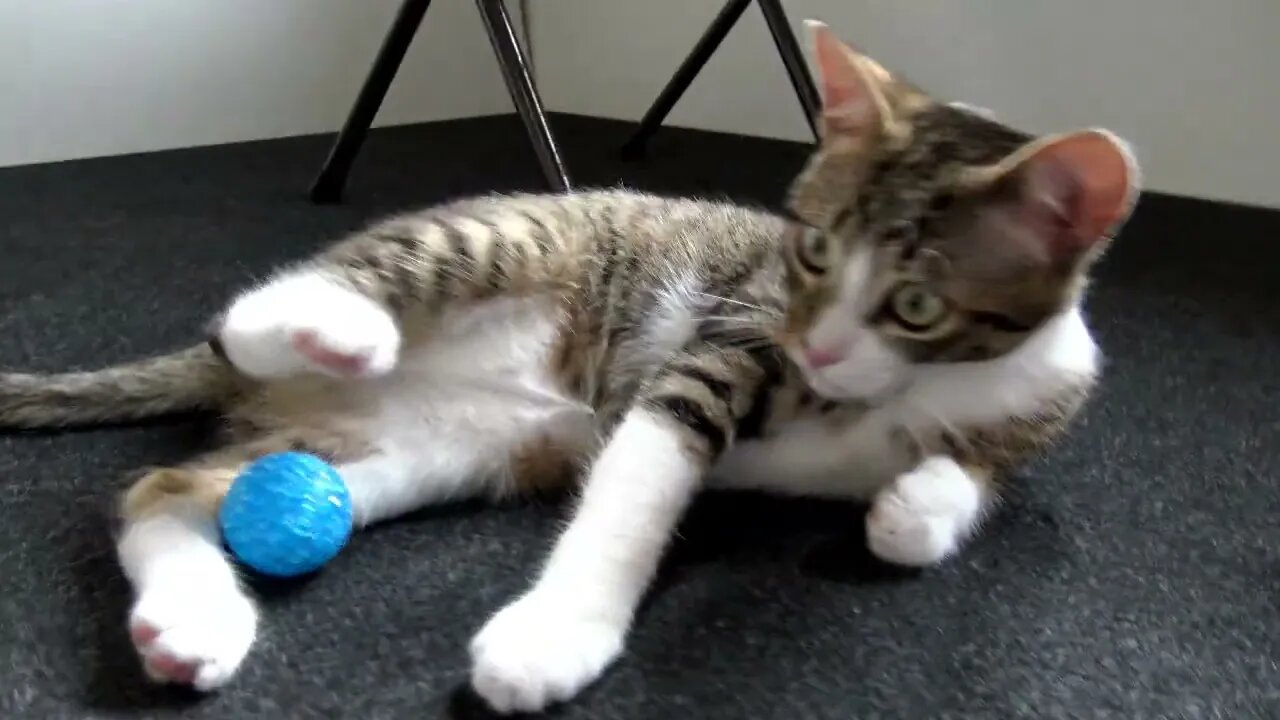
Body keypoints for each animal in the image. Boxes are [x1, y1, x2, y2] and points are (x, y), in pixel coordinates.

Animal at [0, 22, 1141, 712]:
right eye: (812, 251)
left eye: (916, 304)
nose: (818, 346)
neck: (913, 386)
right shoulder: (727, 341)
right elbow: (638, 481)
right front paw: (558, 633)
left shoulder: (1037, 399)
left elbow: (972, 477)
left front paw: (915, 511)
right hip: (511, 239)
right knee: (251, 316)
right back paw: (336, 325)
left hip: (423, 452)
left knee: (168, 486)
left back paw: (189, 619)